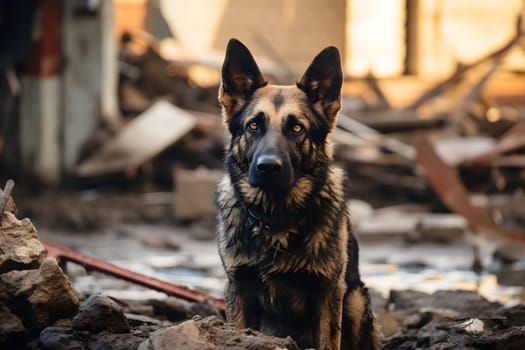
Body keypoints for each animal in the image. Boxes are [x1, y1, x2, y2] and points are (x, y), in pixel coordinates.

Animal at [215, 39, 378, 350]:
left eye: (297, 128)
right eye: (254, 125)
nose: (268, 167)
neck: (275, 218)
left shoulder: (329, 292)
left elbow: (328, 342)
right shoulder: (238, 289)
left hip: (355, 298)